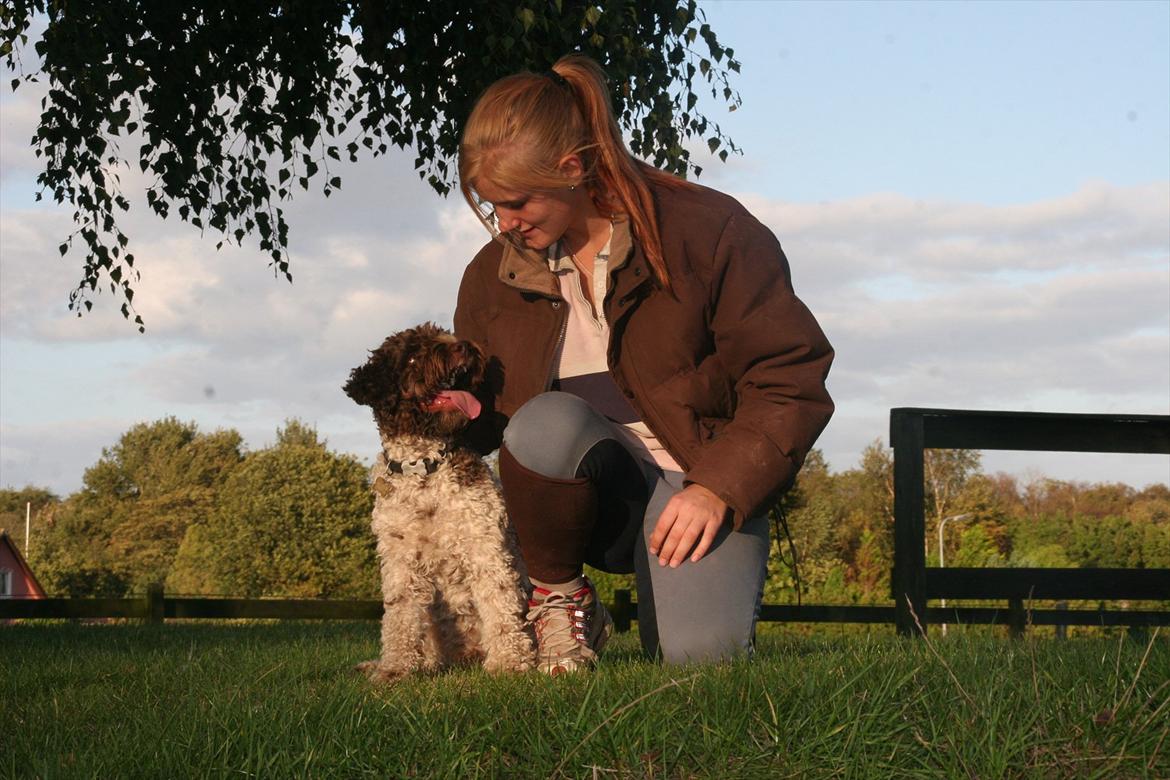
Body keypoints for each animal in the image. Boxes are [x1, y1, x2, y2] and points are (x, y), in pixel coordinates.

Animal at [341, 320, 535, 678]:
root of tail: (465, 658)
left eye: (443, 334)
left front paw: (509, 662)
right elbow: (399, 615)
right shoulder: (399, 558)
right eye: (412, 355)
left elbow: (500, 602)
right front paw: (394, 669)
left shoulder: (485, 545)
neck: (424, 470)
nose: (464, 347)